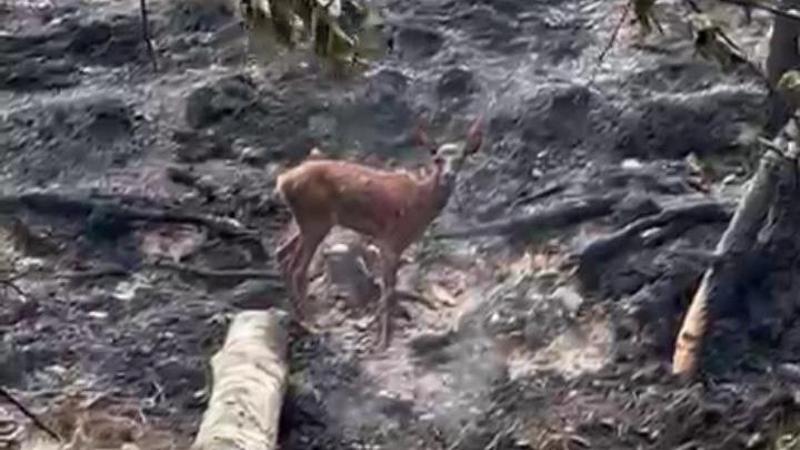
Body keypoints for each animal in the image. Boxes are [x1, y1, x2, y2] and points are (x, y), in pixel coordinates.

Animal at [273, 115, 484, 349]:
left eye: (461, 158)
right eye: (437, 159)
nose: (448, 176)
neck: (420, 204)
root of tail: (283, 182)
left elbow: (388, 287)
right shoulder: (391, 240)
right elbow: (388, 289)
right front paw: (384, 340)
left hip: (308, 221)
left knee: (282, 254)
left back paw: (297, 317)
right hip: (315, 220)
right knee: (298, 269)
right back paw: (311, 323)